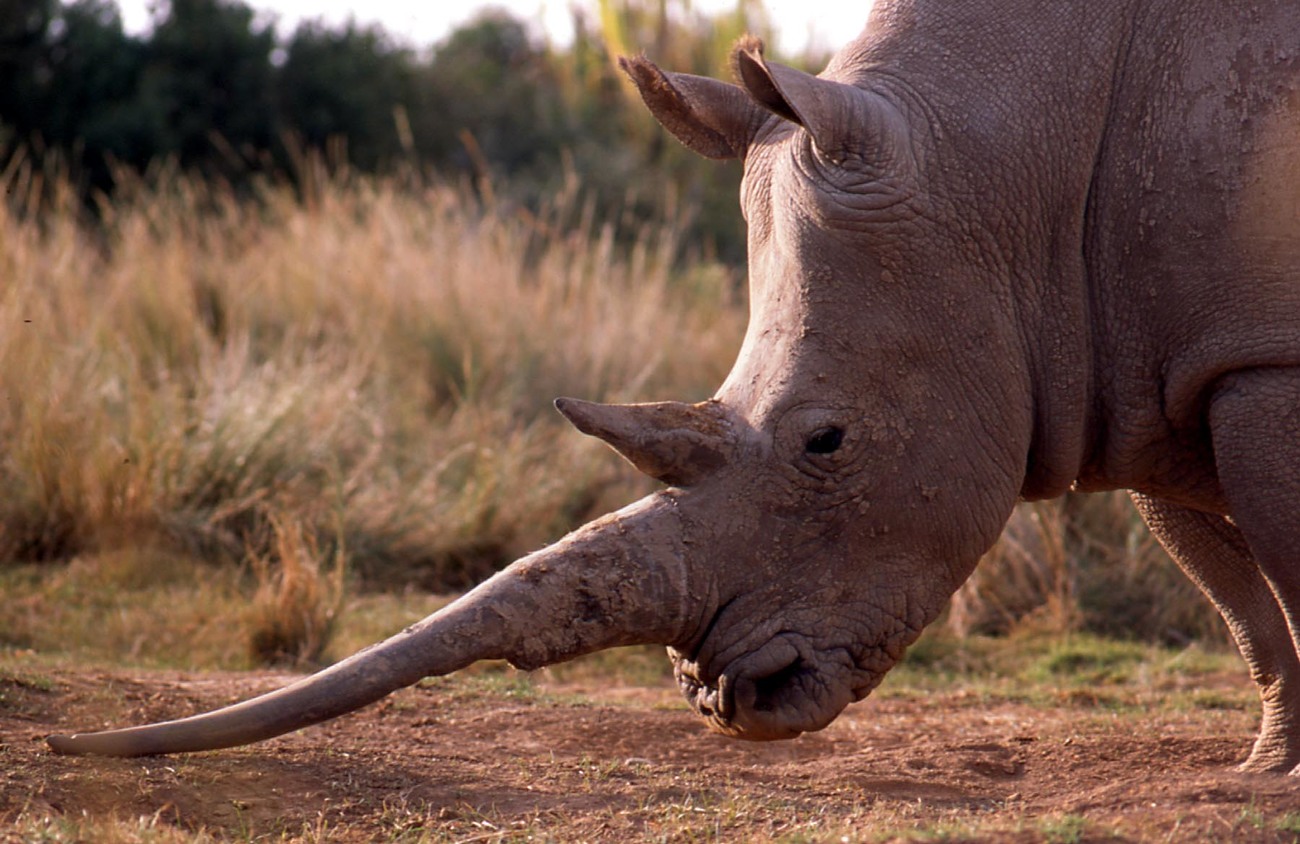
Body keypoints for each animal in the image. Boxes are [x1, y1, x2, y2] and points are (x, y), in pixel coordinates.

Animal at [48, 0, 1300, 773]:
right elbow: (1240, 600)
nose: (720, 697)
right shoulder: (1148, 366)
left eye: (827, 441)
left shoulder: (1255, 358)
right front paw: (1268, 763)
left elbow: (1277, 569)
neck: (1009, 165)